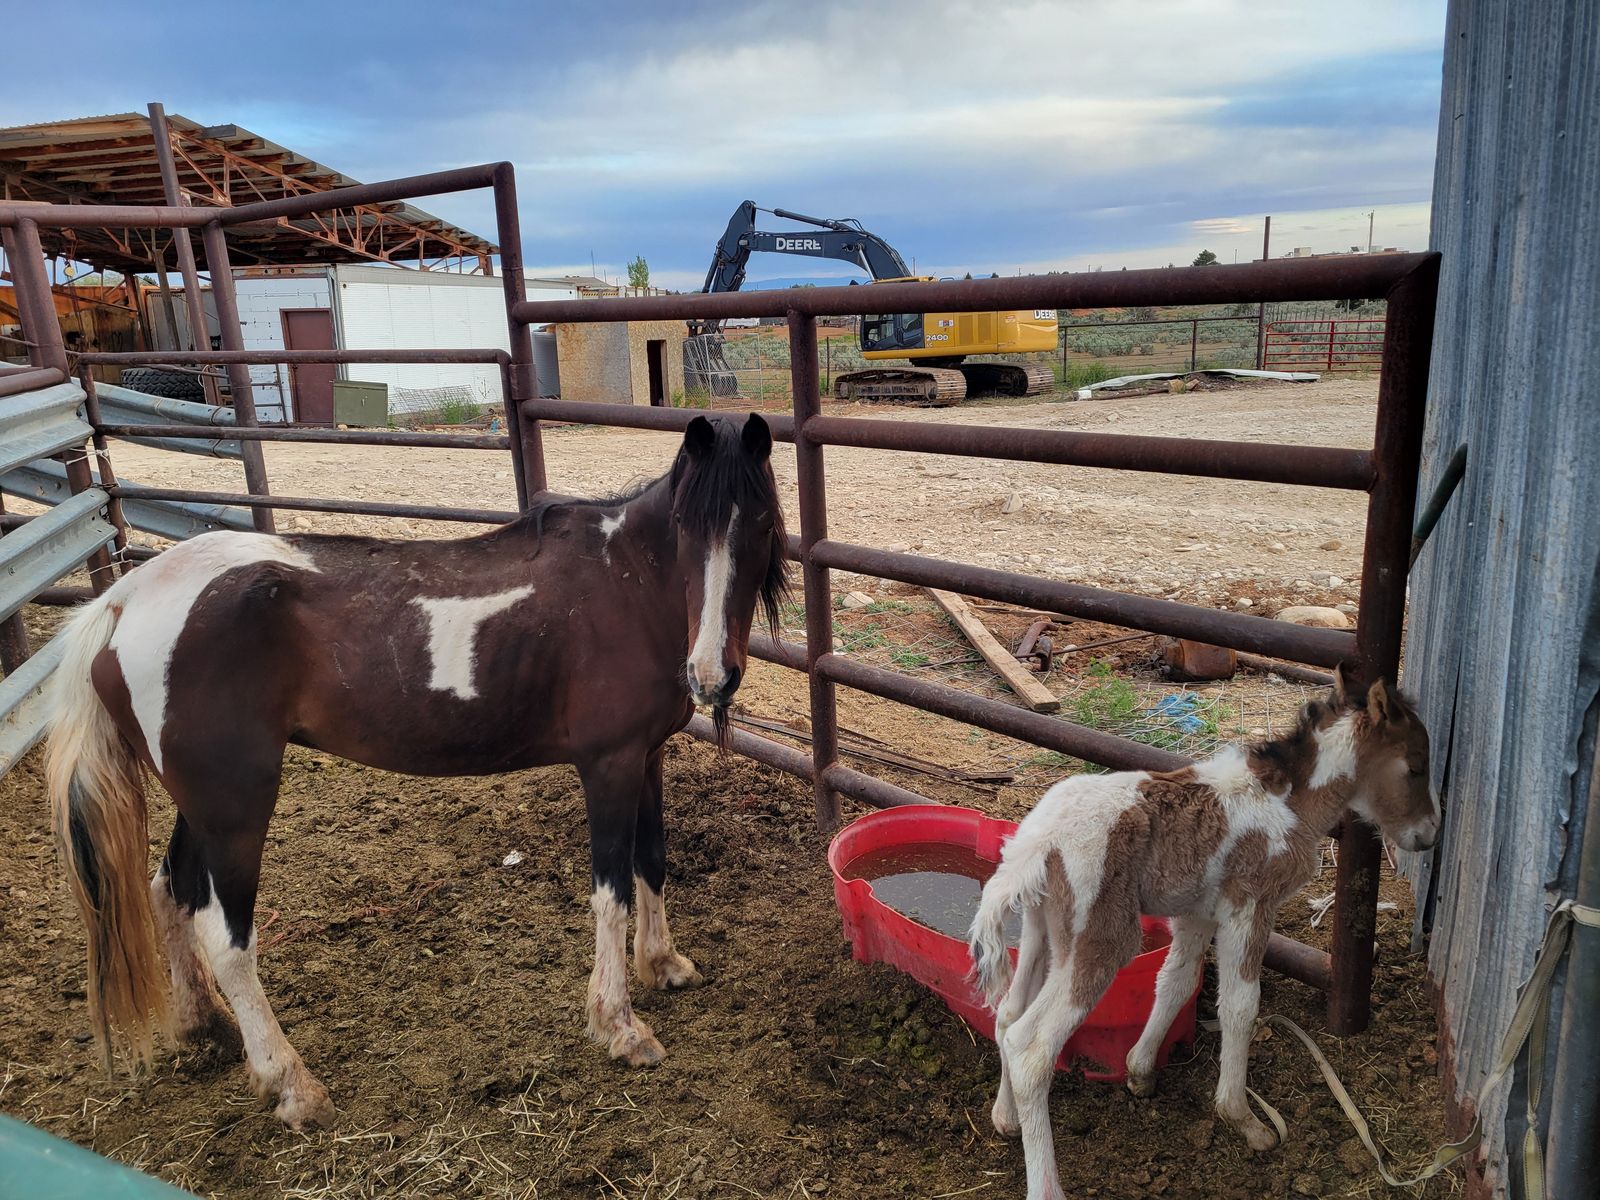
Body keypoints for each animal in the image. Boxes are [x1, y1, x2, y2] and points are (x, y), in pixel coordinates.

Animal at [45, 412, 788, 1130]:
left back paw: (206, 1028)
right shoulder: (608, 766)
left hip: (202, 805)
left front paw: (664, 966)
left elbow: (652, 863)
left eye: (760, 525)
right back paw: (292, 1087)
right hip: (236, 810)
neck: (623, 584)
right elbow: (612, 894)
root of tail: (121, 602)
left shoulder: (647, 757)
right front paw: (620, 1026)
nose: (712, 676)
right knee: (225, 938)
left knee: (168, 889)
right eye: (686, 530)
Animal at [968, 671, 1437, 1200]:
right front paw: (1244, 1119)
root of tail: (1037, 842)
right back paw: (1046, 1186)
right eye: (1416, 767)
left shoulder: (1197, 915)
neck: (1288, 803)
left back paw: (1005, 1118)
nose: (1429, 835)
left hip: (1041, 928)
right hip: (1100, 940)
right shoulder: (1249, 908)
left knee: (1007, 1016)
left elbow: (1174, 982)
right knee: (1031, 1049)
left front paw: (1140, 1072)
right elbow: (1239, 1005)